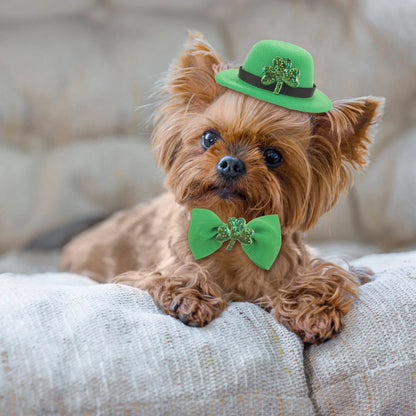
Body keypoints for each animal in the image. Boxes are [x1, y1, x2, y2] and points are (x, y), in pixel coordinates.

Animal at [61, 32, 384, 344]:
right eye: (209, 138)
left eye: (273, 156)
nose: (230, 164)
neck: (233, 229)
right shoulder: (157, 268)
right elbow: (180, 274)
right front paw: (190, 298)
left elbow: (326, 278)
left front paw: (312, 313)